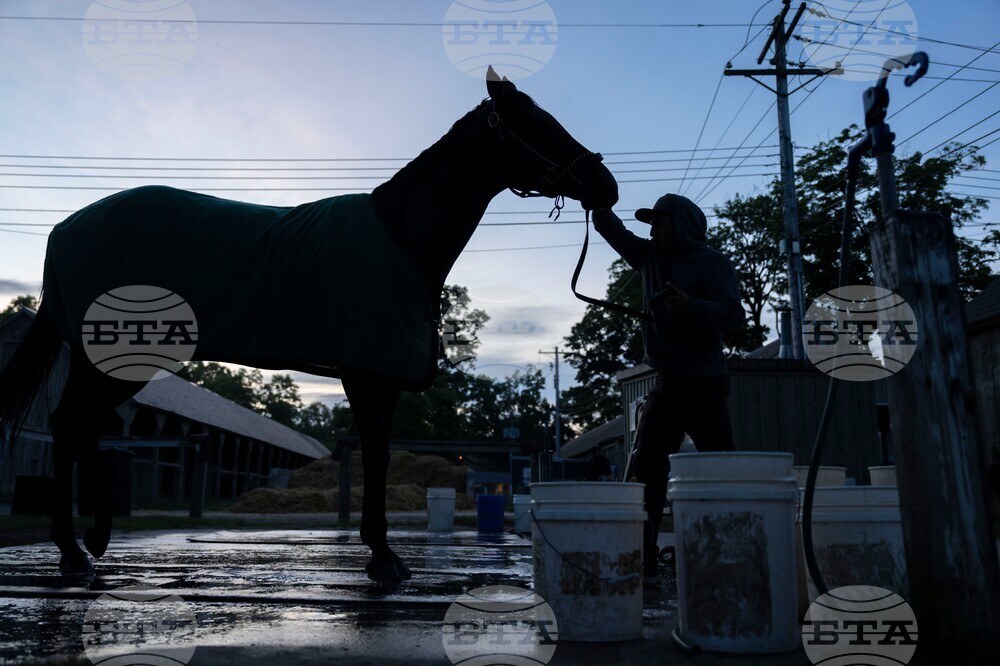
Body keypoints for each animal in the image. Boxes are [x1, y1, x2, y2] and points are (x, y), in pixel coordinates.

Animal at [0, 68, 618, 583]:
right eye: (536, 124)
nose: (606, 184)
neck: (401, 238)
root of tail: (66, 229)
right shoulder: (366, 373)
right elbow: (376, 453)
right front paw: (383, 558)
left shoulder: (380, 377)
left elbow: (379, 451)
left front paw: (382, 553)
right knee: (72, 424)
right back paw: (75, 551)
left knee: (79, 426)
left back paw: (91, 542)